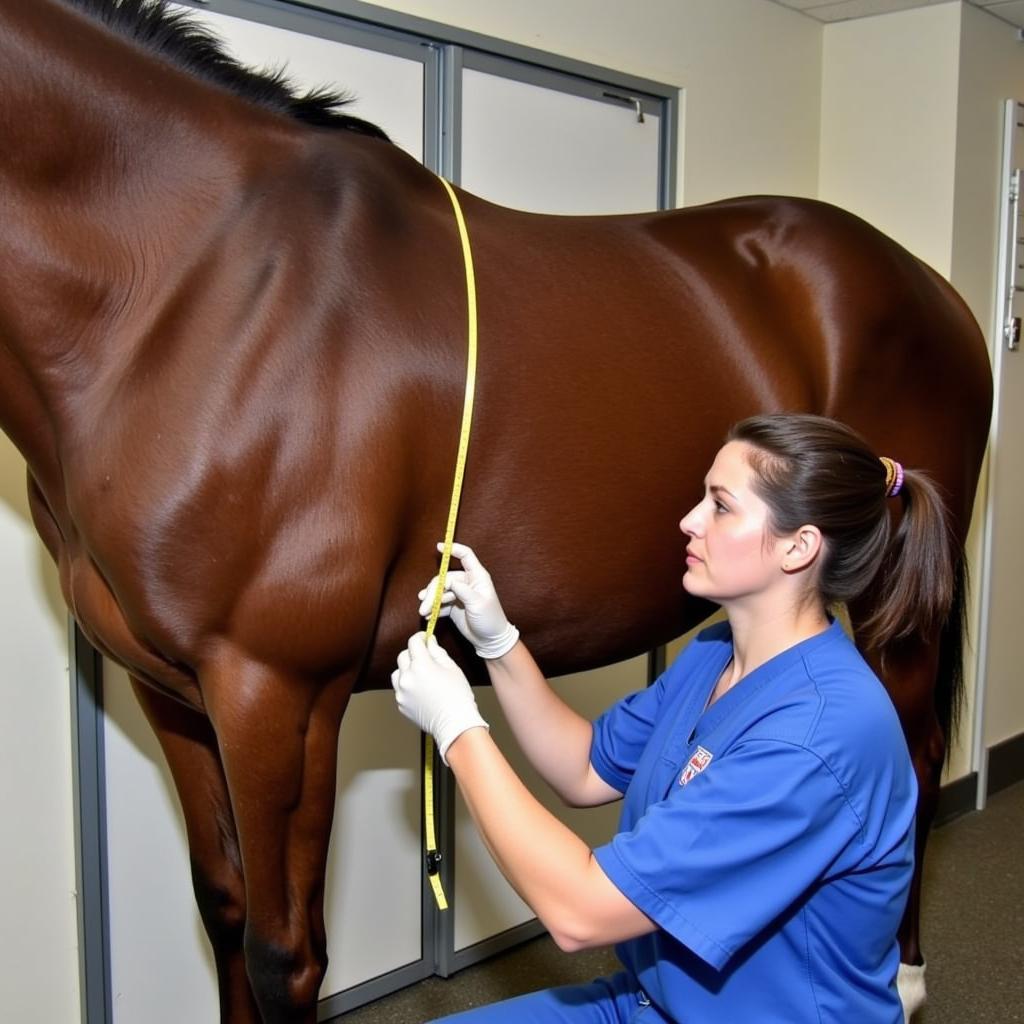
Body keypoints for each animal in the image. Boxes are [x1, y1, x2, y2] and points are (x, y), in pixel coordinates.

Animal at [0, 2, 991, 1024]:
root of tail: (936, 290)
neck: (193, 292)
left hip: (896, 614)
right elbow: (225, 913)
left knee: (917, 759)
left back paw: (904, 978)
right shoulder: (174, 696)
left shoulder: (278, 690)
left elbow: (286, 956)